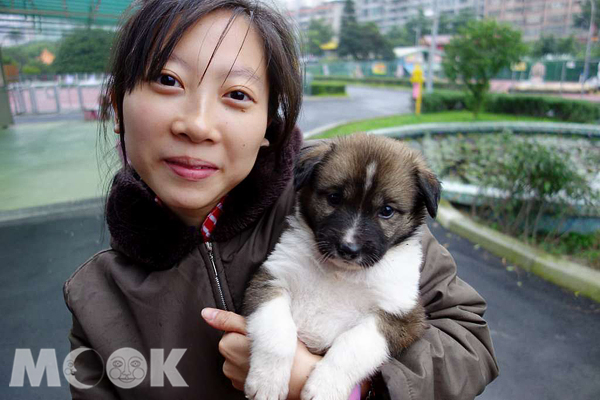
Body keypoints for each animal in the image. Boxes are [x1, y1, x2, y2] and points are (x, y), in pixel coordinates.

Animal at [241, 134, 442, 400]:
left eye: (387, 211)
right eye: (334, 198)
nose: (348, 248)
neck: (341, 274)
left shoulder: (402, 314)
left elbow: (354, 344)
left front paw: (324, 387)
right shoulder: (273, 277)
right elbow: (277, 331)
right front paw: (268, 381)